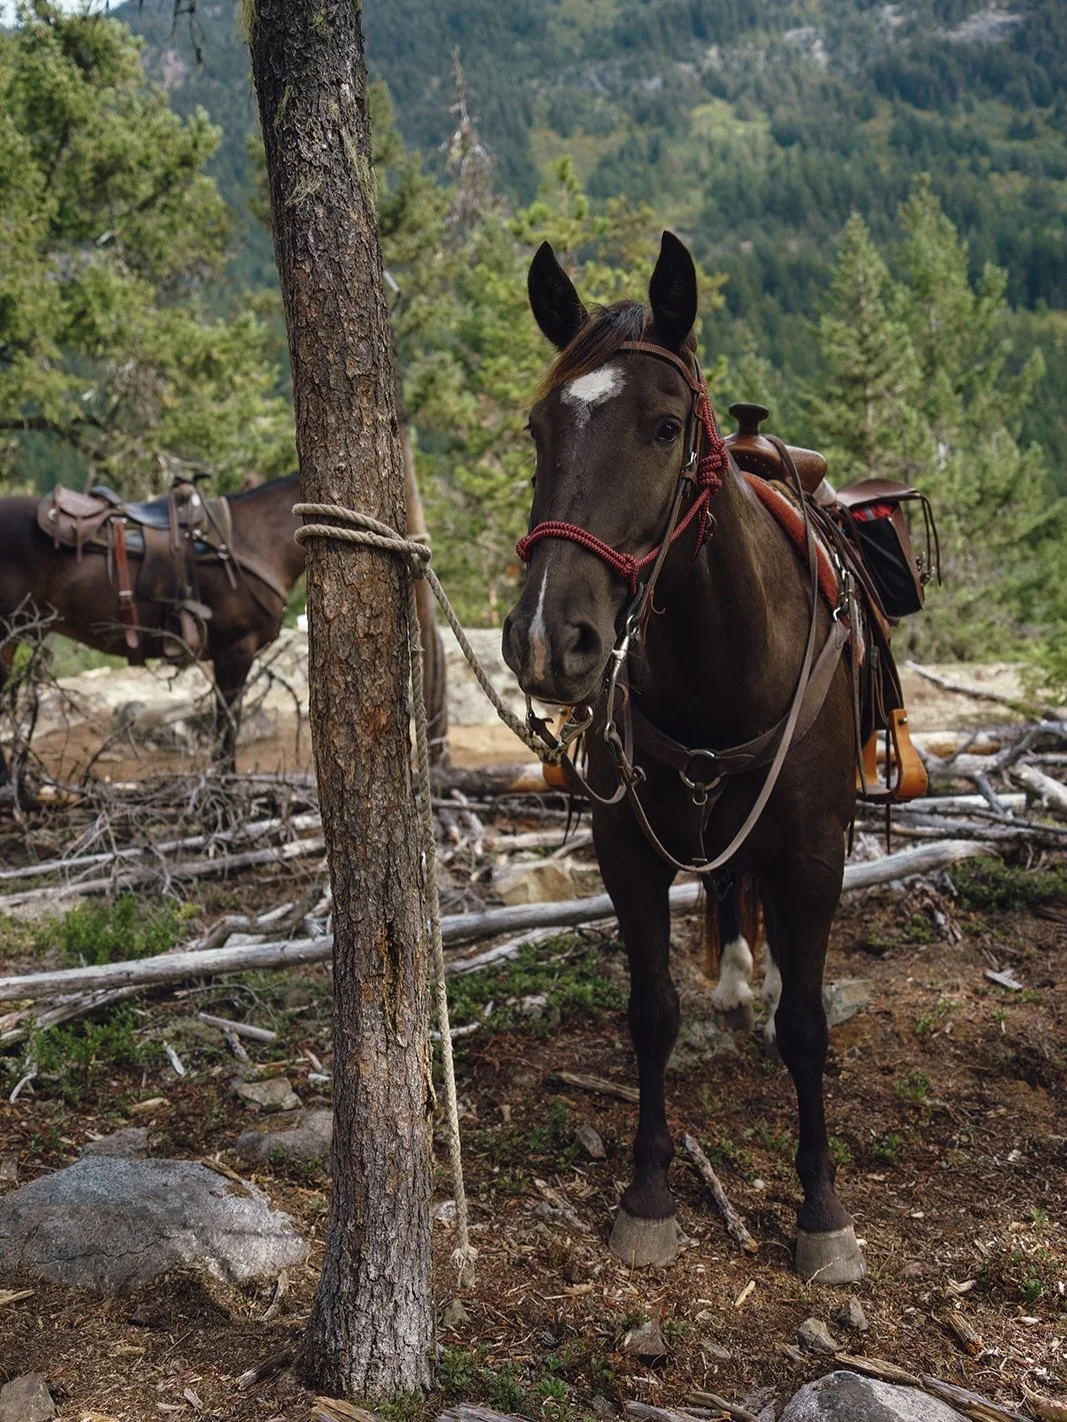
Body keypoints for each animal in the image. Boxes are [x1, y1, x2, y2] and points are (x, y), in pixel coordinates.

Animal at [502, 232, 866, 1284]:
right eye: (537, 431)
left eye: (664, 427)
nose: (548, 640)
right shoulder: (627, 852)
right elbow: (650, 1012)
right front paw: (648, 1194)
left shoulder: (814, 854)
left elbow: (808, 1029)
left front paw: (821, 1212)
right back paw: (741, 978)